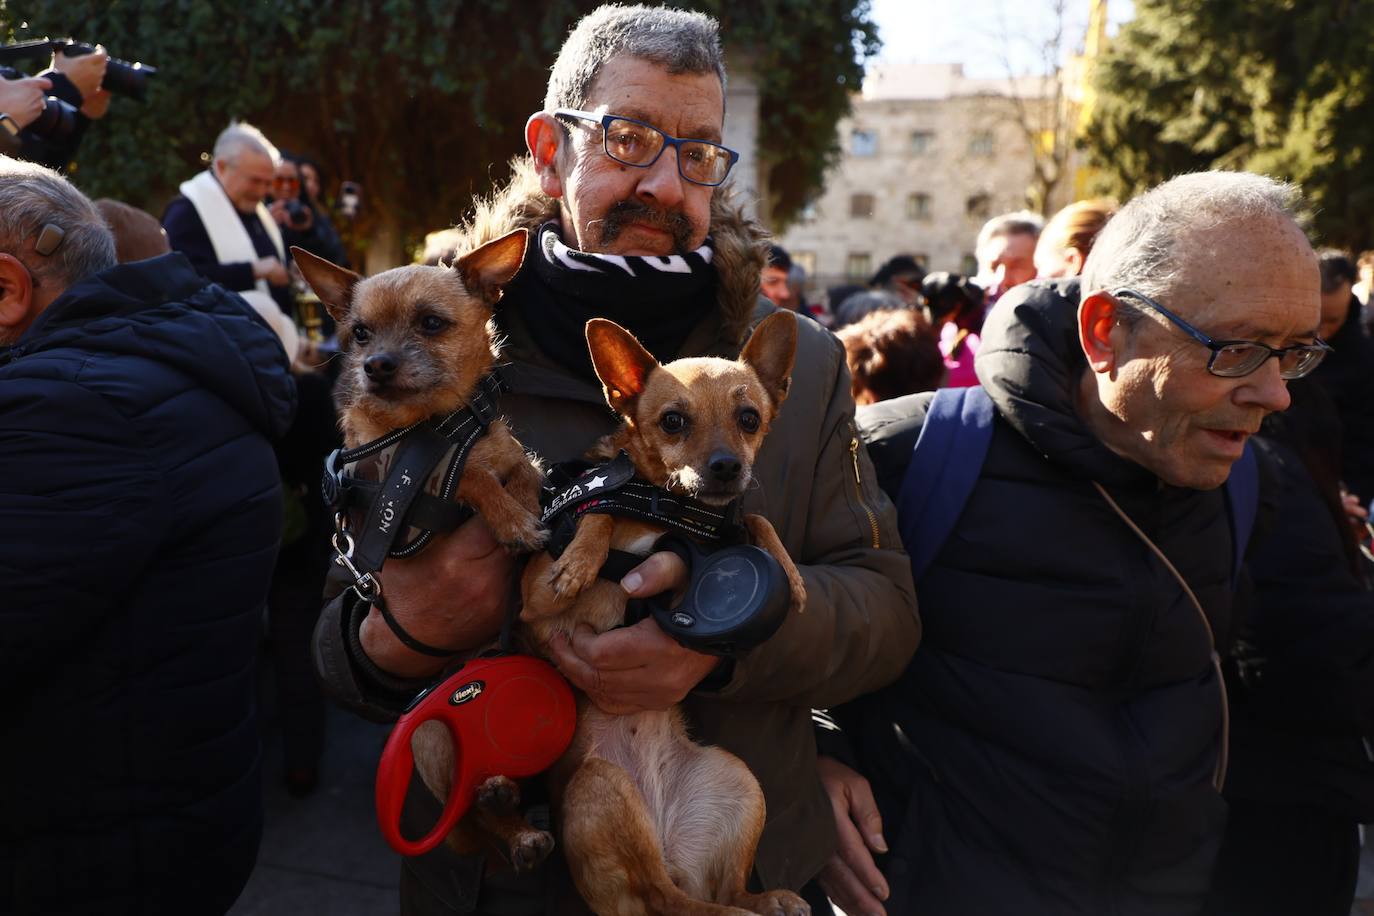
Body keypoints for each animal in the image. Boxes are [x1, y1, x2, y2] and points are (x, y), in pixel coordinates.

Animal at [296, 230, 557, 873]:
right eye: (360, 333)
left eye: (432, 323)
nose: (375, 365)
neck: (438, 427)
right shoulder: (412, 500)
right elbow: (475, 480)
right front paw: (513, 521)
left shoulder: (507, 452)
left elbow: (520, 469)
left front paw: (530, 506)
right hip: (438, 739)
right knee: (473, 812)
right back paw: (510, 822)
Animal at [519, 313, 807, 916]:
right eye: (672, 422)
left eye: (750, 419)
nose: (726, 466)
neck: (668, 510)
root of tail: (671, 847)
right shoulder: (537, 600)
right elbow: (600, 511)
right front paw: (580, 560)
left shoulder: (726, 525)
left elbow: (757, 520)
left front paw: (789, 573)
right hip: (598, 784)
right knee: (669, 898)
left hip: (739, 781)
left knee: (718, 891)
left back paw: (767, 901)